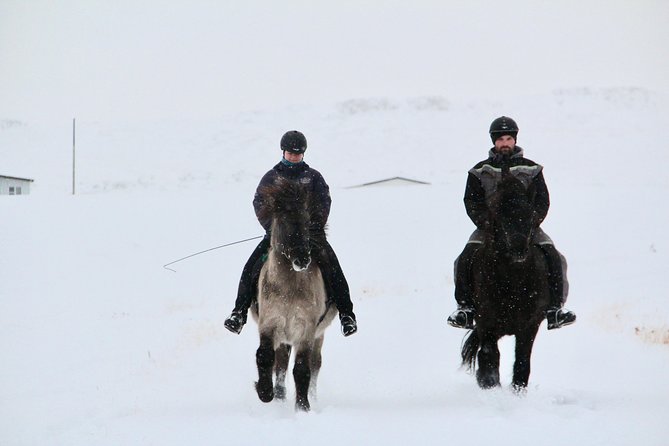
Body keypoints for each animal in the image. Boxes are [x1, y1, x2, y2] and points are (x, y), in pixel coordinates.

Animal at [249, 177, 336, 412]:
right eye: (284, 222)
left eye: (307, 222)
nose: (302, 259)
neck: (288, 289)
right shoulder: (270, 323)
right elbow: (265, 357)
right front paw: (265, 392)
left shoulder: (306, 329)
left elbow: (302, 369)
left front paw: (303, 407)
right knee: (280, 363)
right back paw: (279, 396)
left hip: (318, 334)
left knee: (315, 364)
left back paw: (312, 398)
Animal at [462, 166, 552, 392]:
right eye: (498, 214)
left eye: (529, 214)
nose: (519, 249)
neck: (514, 280)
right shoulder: (486, 323)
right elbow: (489, 358)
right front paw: (490, 387)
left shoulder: (529, 326)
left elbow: (522, 362)